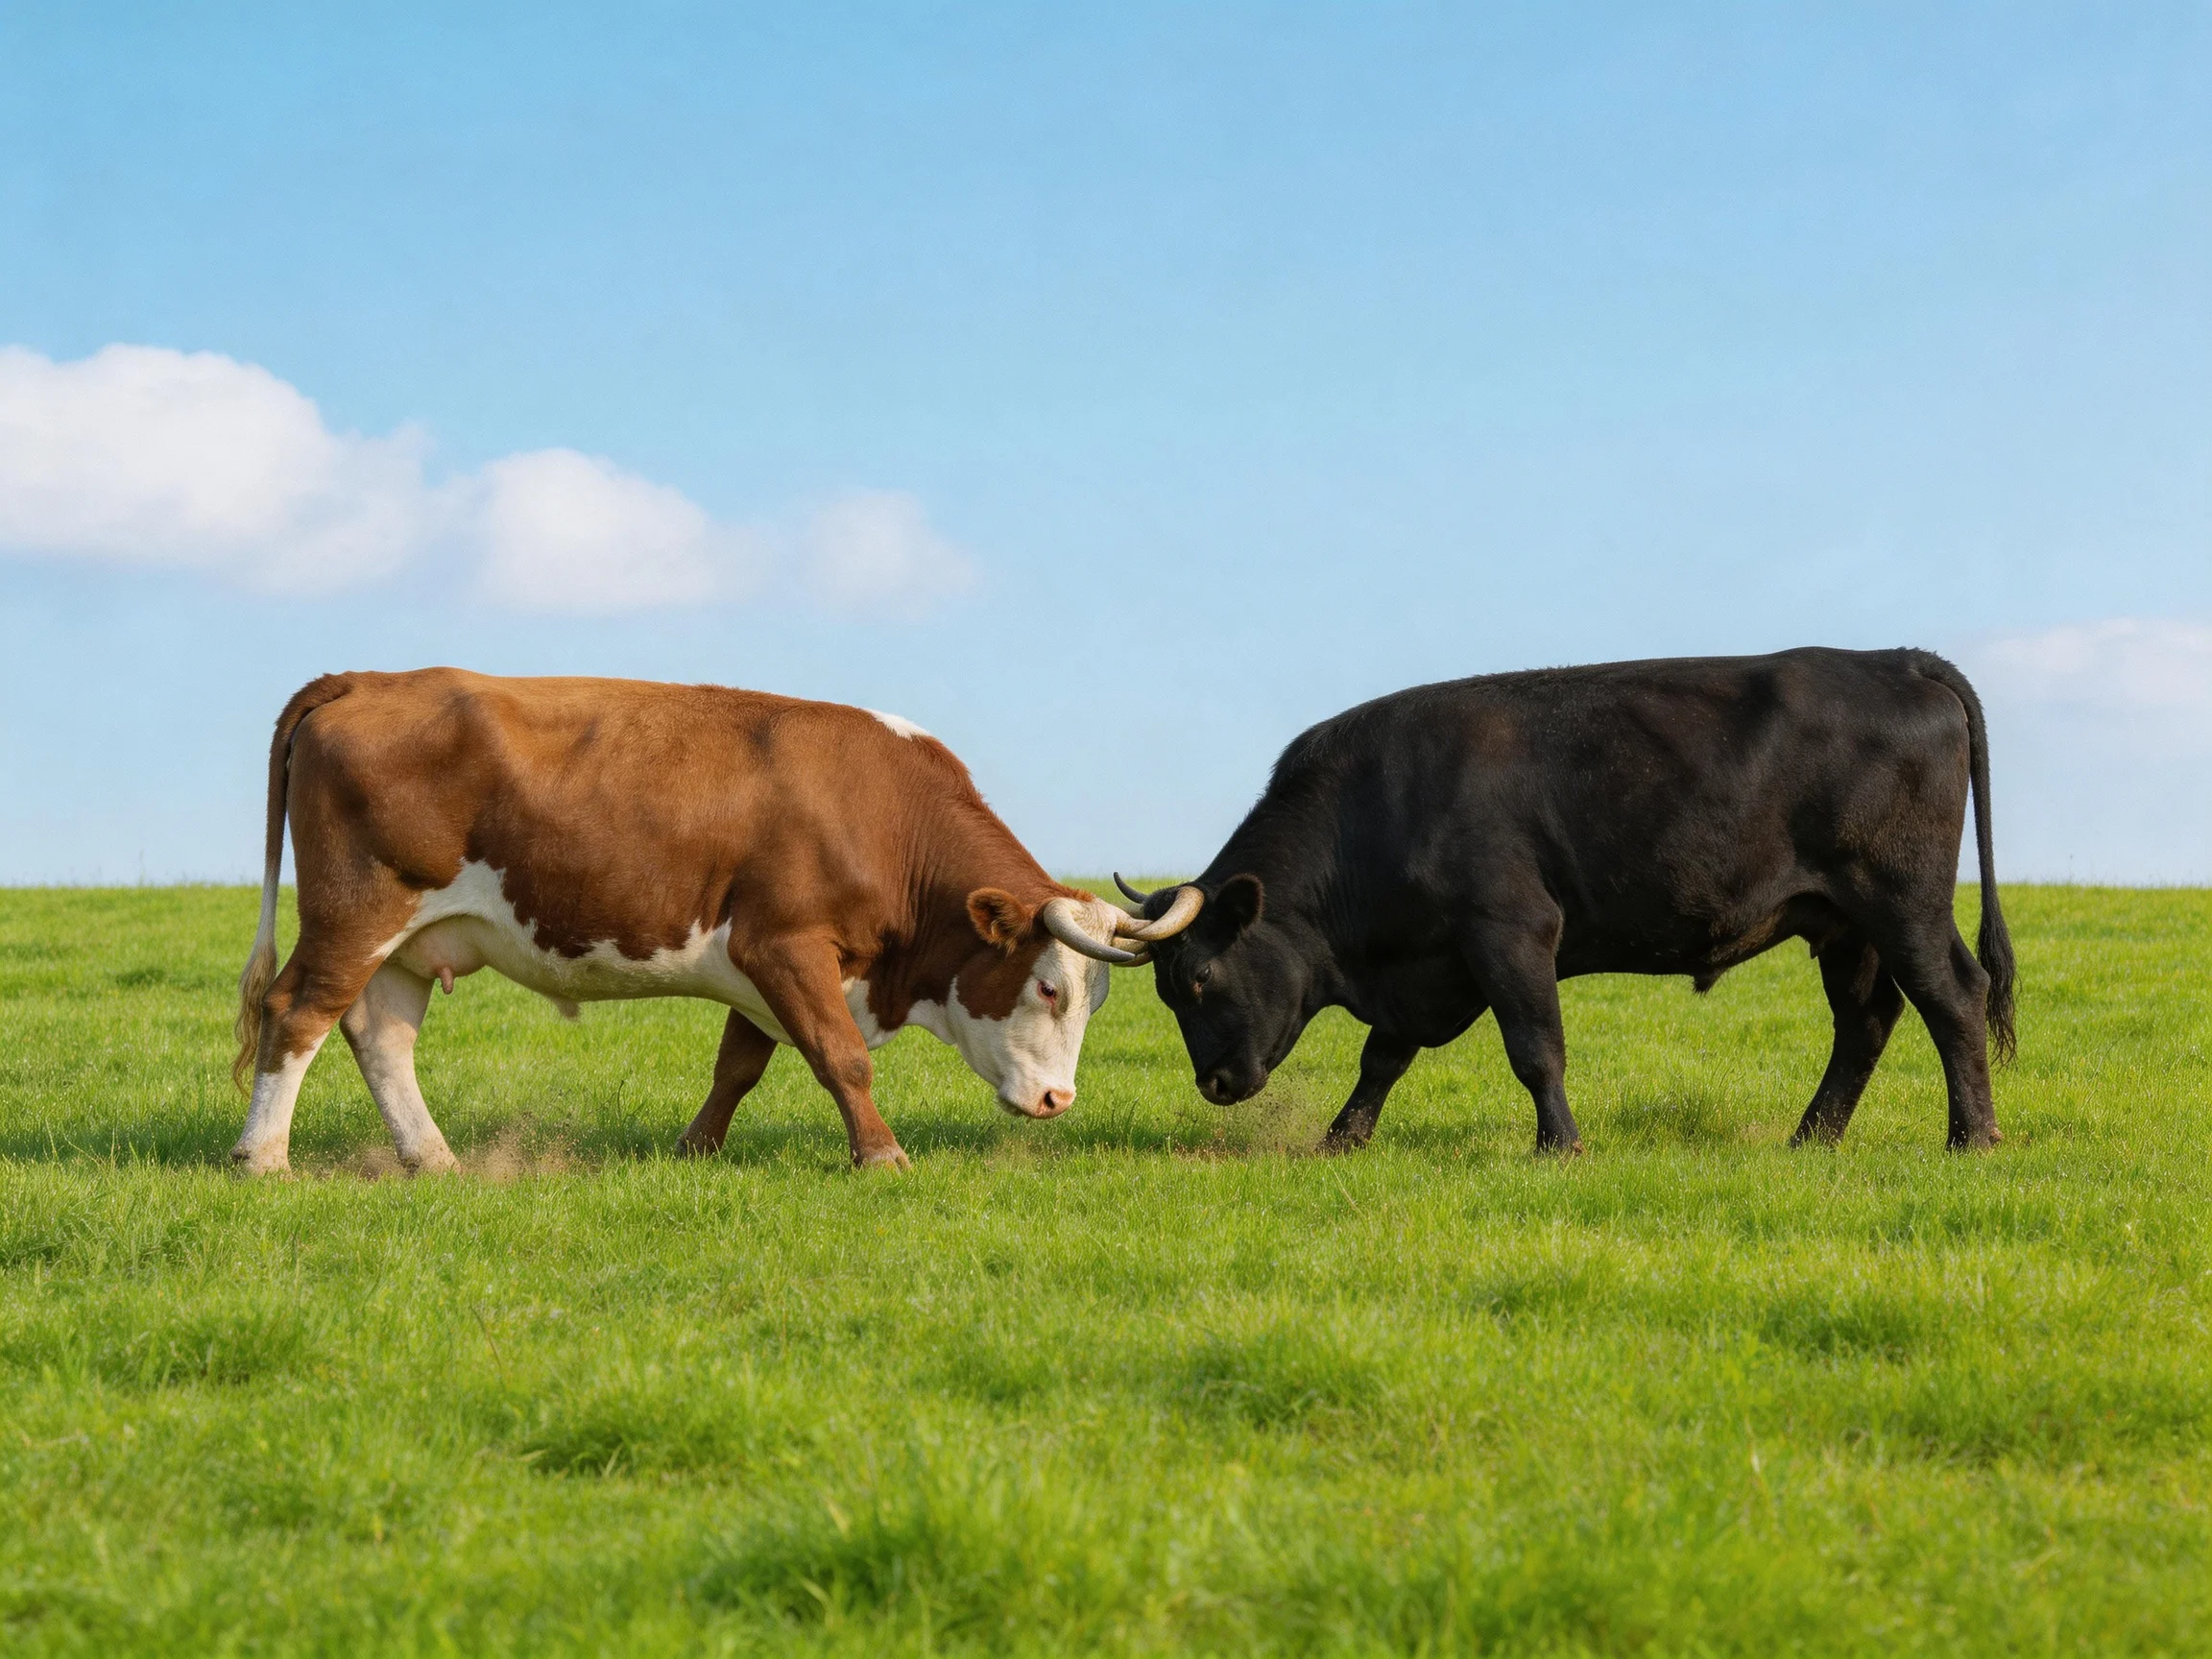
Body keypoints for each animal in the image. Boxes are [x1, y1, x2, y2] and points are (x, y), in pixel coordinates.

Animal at [230, 670, 1174, 1176]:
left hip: (408, 942)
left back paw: (434, 1160)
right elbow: (842, 1058)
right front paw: (881, 1156)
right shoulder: (786, 944)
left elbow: (739, 1067)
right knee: (297, 1014)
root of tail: (368, 679)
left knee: (379, 1035)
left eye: (1094, 1000)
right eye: (1049, 989)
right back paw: (263, 1158)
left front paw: (695, 1150)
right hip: (356, 913)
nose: (1058, 1100)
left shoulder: (760, 965)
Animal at [1114, 648, 2016, 1154]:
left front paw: (1559, 1146)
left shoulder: (1509, 931)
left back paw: (1971, 1138)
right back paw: (1811, 1140)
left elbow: (1534, 1049)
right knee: (1867, 1021)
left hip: (1901, 900)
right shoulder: (1432, 963)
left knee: (1953, 997)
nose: (1214, 1084)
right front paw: (1343, 1139)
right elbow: (1384, 1057)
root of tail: (1895, 658)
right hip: (1845, 925)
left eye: (1197, 979)